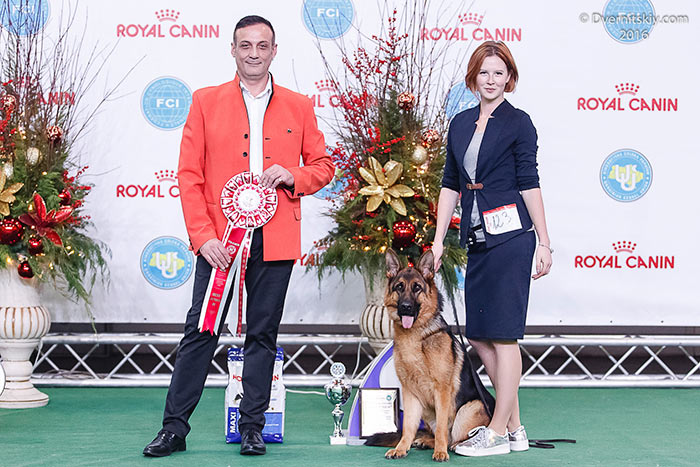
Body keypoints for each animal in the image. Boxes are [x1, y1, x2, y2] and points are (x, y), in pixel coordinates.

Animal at [365, 249, 495, 462]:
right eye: (399, 287)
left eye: (417, 288)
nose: (406, 307)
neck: (416, 336)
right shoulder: (410, 393)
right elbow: (408, 427)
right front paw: (401, 448)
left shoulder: (441, 391)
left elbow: (442, 427)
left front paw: (440, 452)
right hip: (427, 411)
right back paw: (425, 441)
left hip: (470, 408)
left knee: (453, 437)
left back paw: (453, 446)